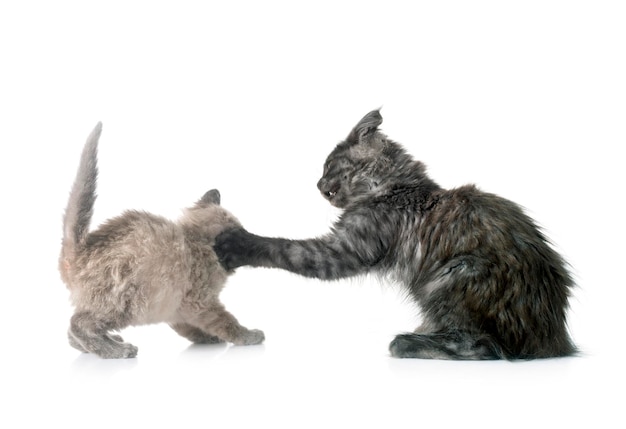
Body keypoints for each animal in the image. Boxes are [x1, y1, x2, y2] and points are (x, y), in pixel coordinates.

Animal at [59, 123, 264, 358]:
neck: (195, 243)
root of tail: (80, 250)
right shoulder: (200, 302)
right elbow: (227, 323)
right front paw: (249, 336)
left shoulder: (175, 307)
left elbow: (188, 328)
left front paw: (207, 338)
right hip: (125, 305)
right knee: (78, 324)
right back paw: (117, 350)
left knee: (71, 333)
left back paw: (104, 345)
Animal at [214, 109, 576, 358]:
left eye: (328, 166)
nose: (316, 185)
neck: (393, 188)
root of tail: (554, 339)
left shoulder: (344, 249)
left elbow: (283, 249)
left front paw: (235, 243)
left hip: (454, 273)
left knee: (484, 345)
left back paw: (410, 342)